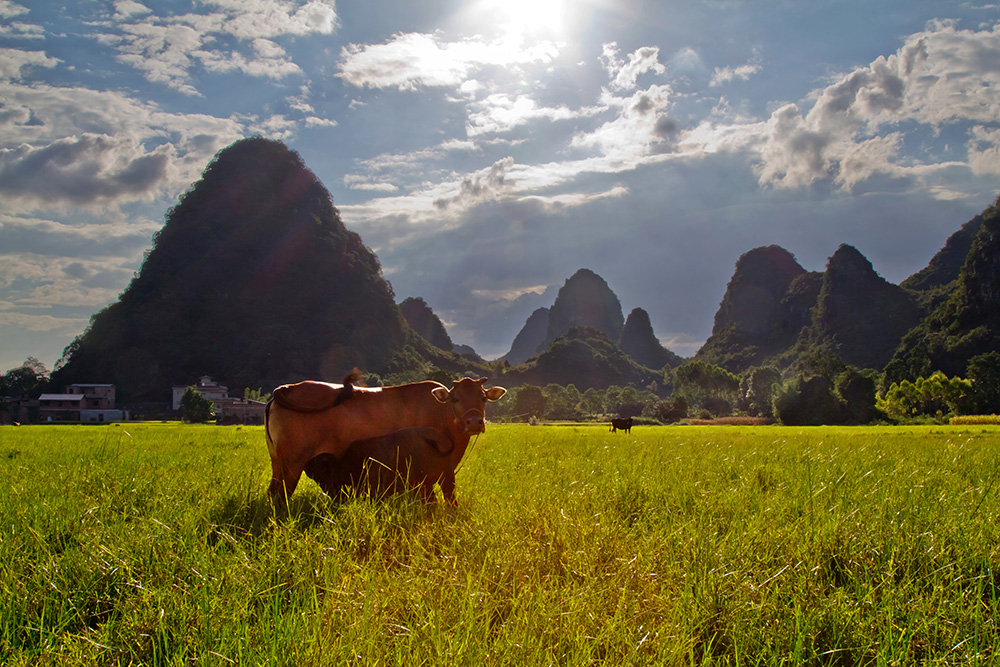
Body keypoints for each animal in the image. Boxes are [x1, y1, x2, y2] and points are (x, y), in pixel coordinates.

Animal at [264, 370, 504, 506]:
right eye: (455, 399)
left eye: (483, 398)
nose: (475, 422)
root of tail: (286, 388)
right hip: (293, 464)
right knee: (281, 496)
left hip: (278, 463)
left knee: (272, 494)